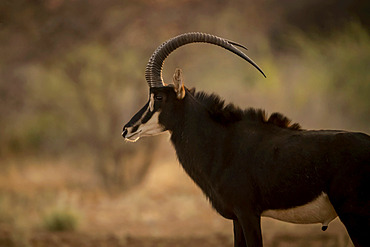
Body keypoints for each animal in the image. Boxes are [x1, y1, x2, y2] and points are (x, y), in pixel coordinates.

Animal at [122, 32, 370, 247]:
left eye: (159, 97)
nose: (127, 129)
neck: (223, 143)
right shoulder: (236, 217)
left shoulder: (248, 213)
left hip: (353, 214)